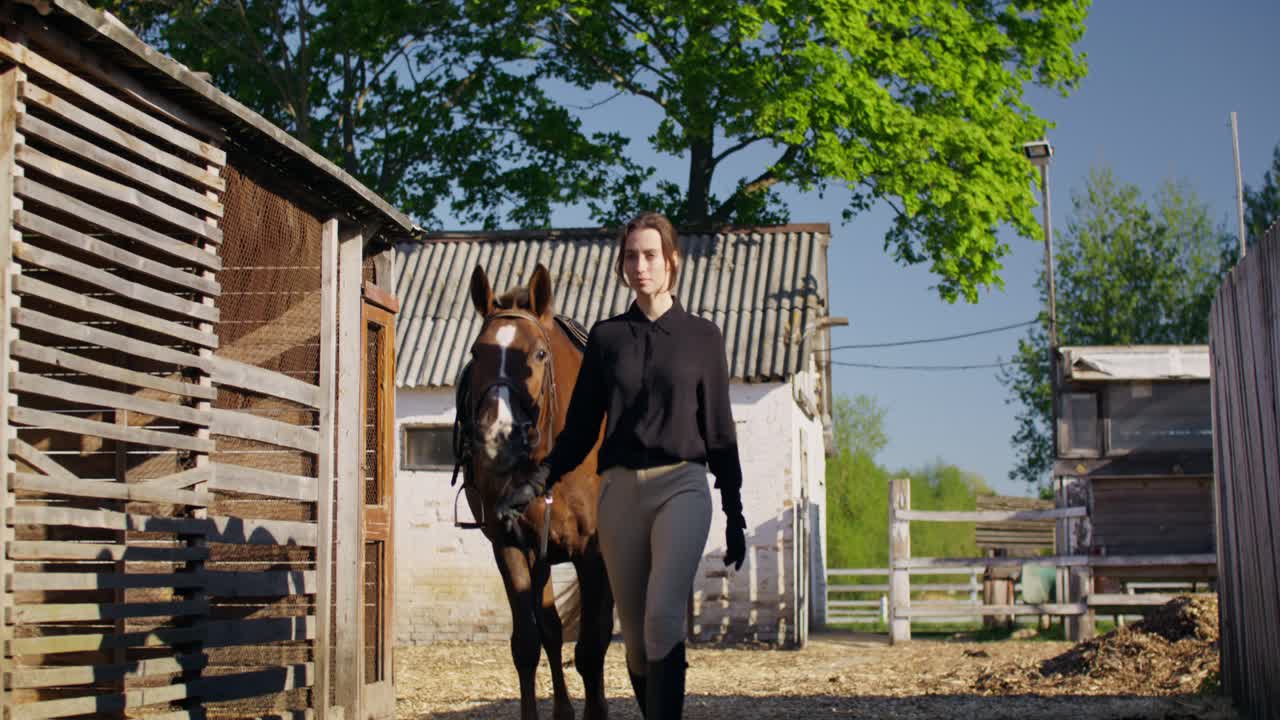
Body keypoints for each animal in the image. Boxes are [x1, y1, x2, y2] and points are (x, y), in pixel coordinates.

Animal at [458, 263, 613, 720]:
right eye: (476, 353)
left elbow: (591, 651)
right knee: (551, 630)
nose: (498, 435)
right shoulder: (510, 546)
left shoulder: (592, 553)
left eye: (540, 355)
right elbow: (528, 644)